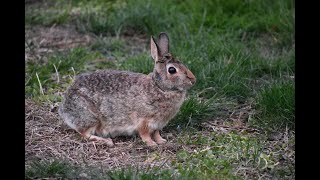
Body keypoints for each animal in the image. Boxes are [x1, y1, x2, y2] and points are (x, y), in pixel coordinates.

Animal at [58, 32, 196, 146]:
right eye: (172, 70)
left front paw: (161, 141)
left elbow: (156, 133)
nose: (193, 80)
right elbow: (145, 134)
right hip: (90, 117)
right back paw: (106, 141)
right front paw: (151, 144)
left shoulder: (158, 124)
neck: (160, 87)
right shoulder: (143, 121)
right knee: (85, 134)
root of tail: (64, 108)